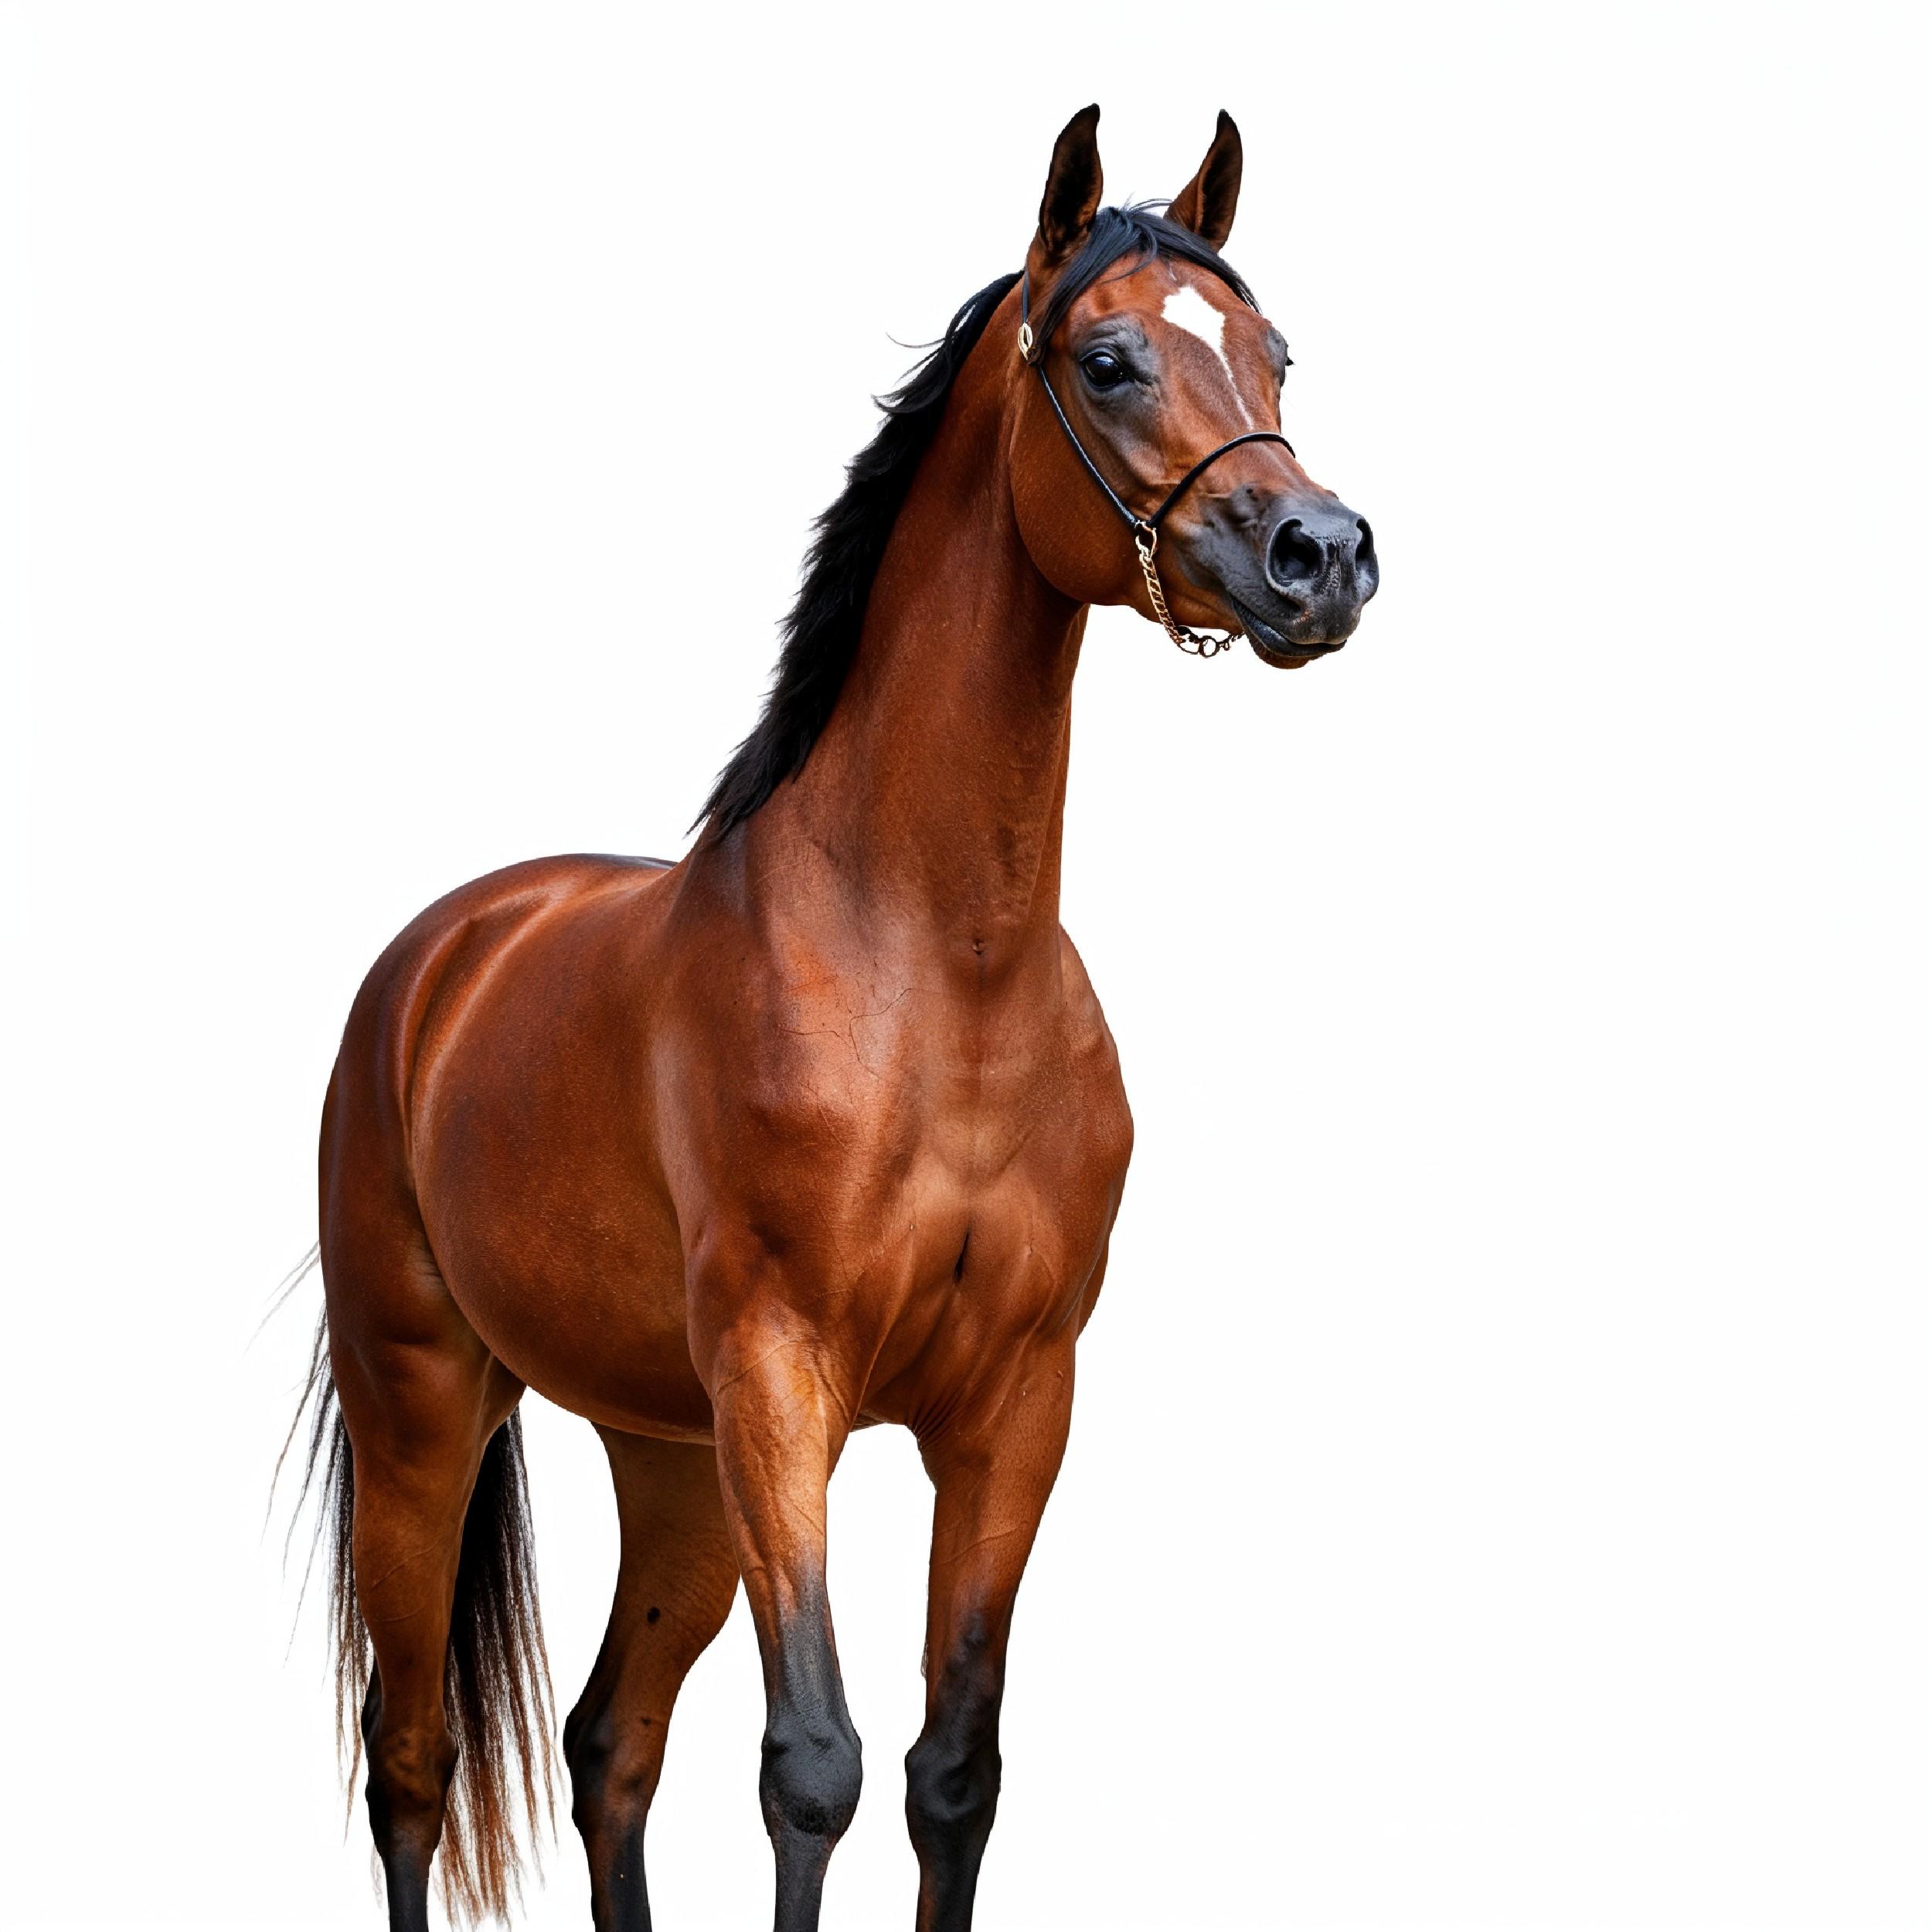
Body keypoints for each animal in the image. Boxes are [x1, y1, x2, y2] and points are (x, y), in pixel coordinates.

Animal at [290, 103, 1377, 1932]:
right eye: (1106, 358)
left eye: (1274, 352)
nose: (1324, 557)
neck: (936, 970)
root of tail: (439, 960)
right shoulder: (783, 1377)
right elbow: (814, 1765)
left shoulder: (1013, 1404)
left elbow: (951, 1772)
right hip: (425, 1403)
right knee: (412, 1759)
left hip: (665, 1453)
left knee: (609, 1742)